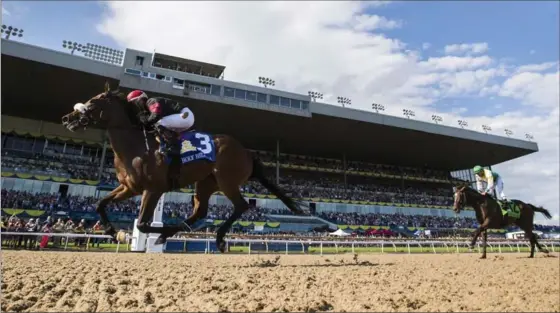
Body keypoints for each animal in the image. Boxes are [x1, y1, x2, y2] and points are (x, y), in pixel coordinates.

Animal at [61, 82, 306, 251]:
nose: (67, 118)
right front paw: (115, 233)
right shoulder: (129, 187)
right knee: (200, 211)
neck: (136, 147)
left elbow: (143, 224)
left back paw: (217, 239)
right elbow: (100, 204)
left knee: (241, 206)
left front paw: (151, 235)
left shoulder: (153, 189)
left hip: (226, 179)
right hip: (206, 182)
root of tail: (246, 152)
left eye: (92, 103)